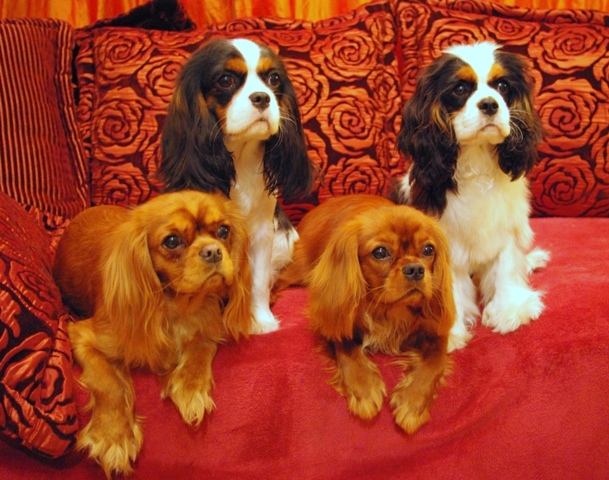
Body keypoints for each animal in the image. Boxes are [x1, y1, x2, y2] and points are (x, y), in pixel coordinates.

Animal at [53, 190, 252, 477]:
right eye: (172, 241)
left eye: (224, 231)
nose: (213, 250)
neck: (179, 306)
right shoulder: (81, 334)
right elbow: (108, 382)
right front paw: (113, 435)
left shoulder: (210, 323)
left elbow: (201, 349)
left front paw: (190, 387)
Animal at [159, 38, 313, 335]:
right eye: (226, 80)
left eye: (273, 79)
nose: (262, 97)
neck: (239, 157)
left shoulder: (263, 232)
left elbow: (258, 281)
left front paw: (260, 320)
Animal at [279, 194, 455, 433]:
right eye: (380, 252)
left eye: (428, 250)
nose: (415, 269)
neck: (389, 309)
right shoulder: (334, 317)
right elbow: (346, 348)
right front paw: (364, 389)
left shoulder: (435, 330)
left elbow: (435, 363)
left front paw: (412, 403)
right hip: (298, 268)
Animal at [394, 41, 549, 351]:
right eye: (460, 89)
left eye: (502, 85)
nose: (490, 104)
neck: (476, 158)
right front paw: (448, 332)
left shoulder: (506, 226)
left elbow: (506, 265)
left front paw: (510, 309)